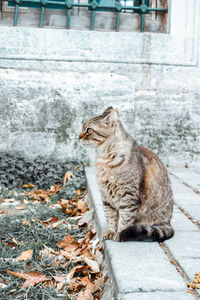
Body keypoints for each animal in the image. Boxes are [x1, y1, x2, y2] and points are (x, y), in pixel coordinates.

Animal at [78, 106, 173, 243]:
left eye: (89, 130)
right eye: (82, 128)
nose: (78, 137)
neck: (103, 158)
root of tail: (169, 222)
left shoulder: (128, 196)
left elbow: (125, 218)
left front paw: (119, 234)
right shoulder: (105, 197)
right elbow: (111, 217)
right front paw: (110, 232)